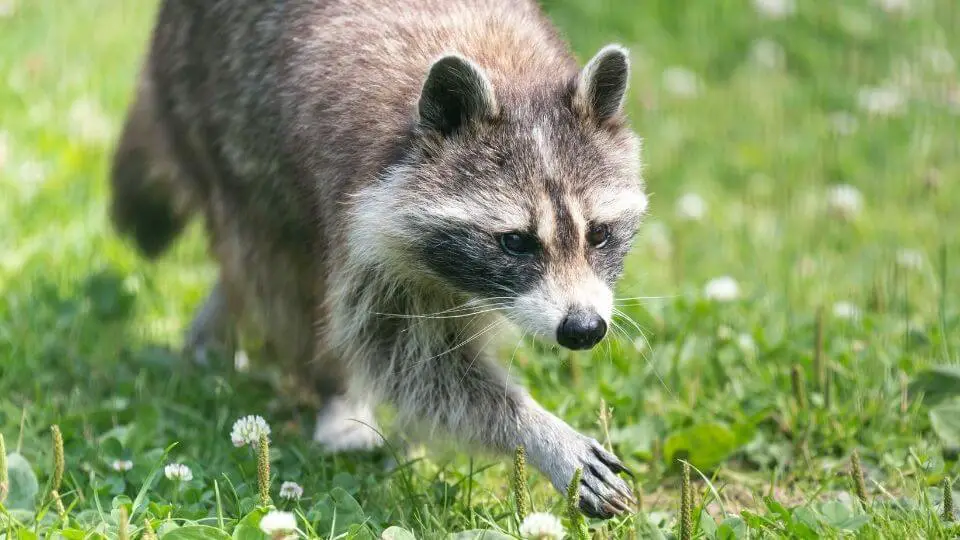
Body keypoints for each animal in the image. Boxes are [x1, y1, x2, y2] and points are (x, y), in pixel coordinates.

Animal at [112, 0, 652, 516]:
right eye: (516, 241)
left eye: (598, 234)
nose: (583, 328)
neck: (507, 72)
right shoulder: (362, 229)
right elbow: (411, 359)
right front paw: (536, 430)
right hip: (212, 115)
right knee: (277, 271)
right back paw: (331, 389)